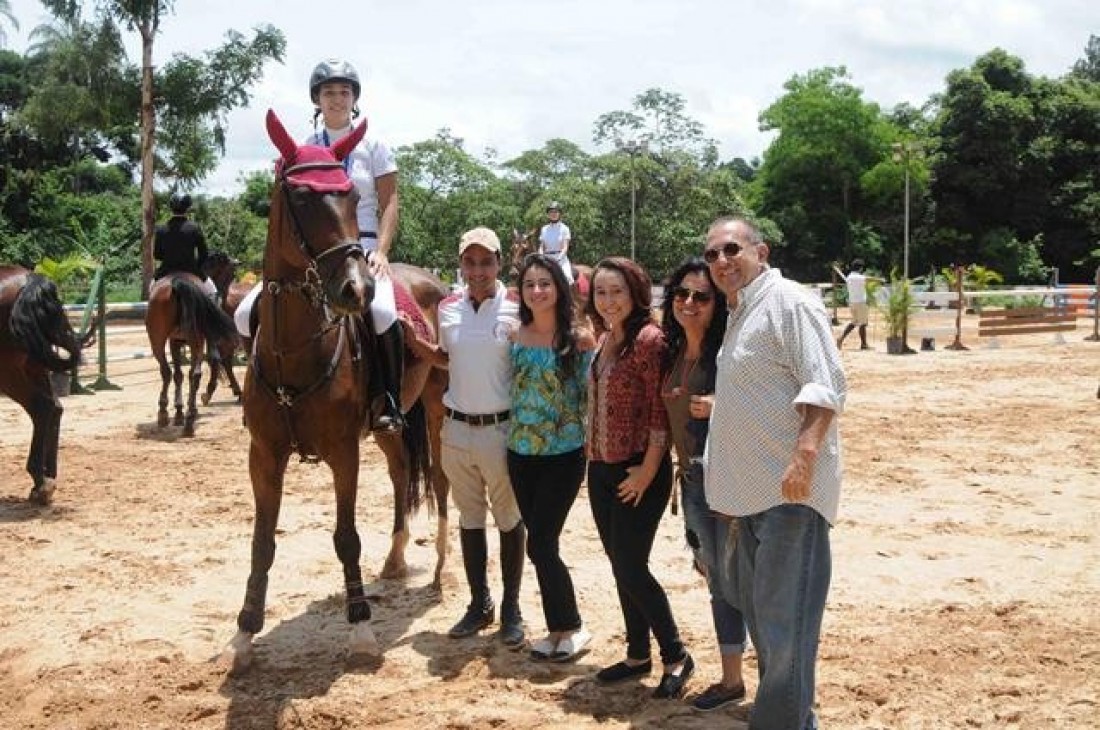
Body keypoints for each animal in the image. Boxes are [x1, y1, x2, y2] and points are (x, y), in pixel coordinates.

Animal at [0, 266, 94, 504]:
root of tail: (31, 279)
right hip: (34, 366)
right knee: (55, 407)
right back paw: (46, 477)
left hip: (8, 373)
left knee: (41, 406)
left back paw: (41, 482)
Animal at [144, 271, 238, 436]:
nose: (224, 293)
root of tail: (177, 281)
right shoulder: (178, 341)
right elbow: (183, 374)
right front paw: (182, 411)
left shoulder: (174, 341)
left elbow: (177, 375)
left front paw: (178, 412)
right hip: (192, 341)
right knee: (195, 373)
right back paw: (188, 420)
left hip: (159, 340)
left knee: (168, 372)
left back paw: (165, 414)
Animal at [223, 110, 449, 673]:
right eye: (301, 196)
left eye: (349, 193)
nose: (357, 290)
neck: (294, 351)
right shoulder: (264, 454)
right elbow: (262, 543)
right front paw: (244, 635)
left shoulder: (343, 451)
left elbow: (346, 538)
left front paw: (361, 631)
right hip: (390, 424)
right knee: (400, 473)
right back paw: (394, 559)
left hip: (438, 409)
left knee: (438, 480)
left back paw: (440, 568)